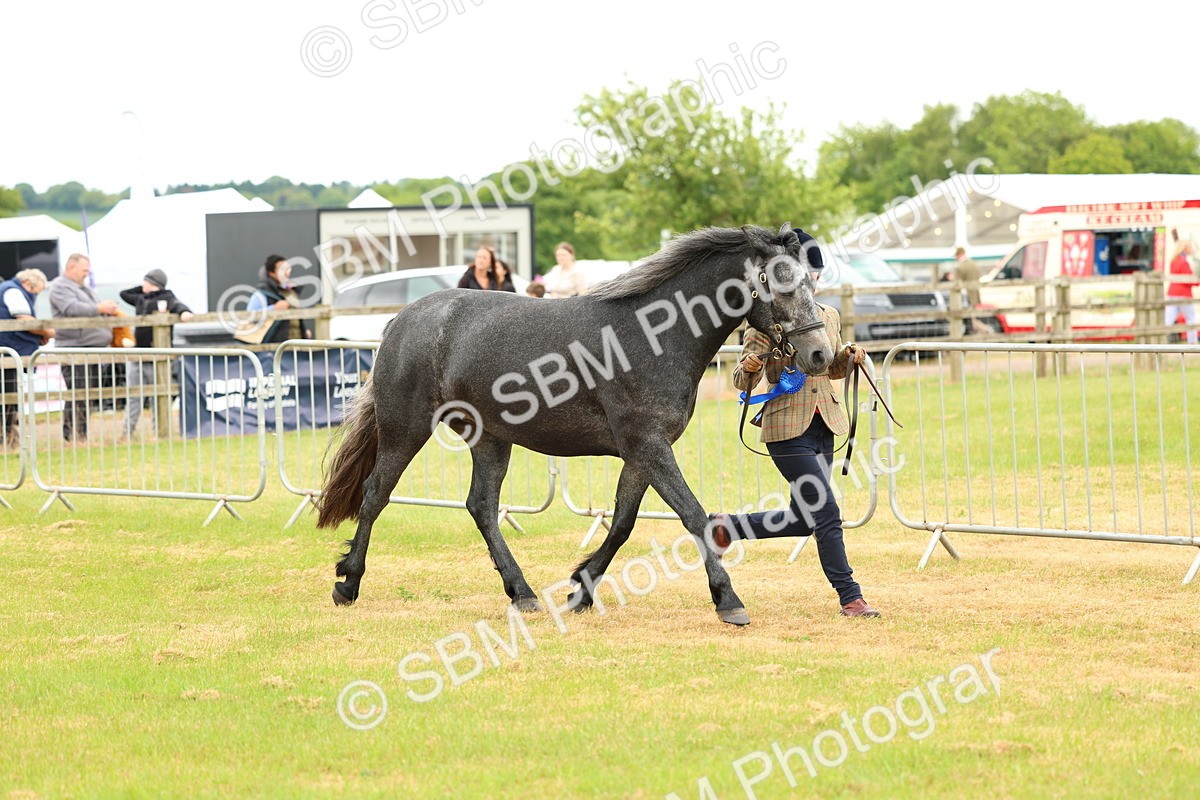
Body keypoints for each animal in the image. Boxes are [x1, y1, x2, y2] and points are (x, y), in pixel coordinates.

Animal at [316, 222, 833, 626]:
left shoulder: (642, 453)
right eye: (781, 283)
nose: (820, 355)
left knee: (481, 506)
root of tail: (401, 321)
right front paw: (728, 601)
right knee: (376, 493)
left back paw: (522, 594)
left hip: (490, 439)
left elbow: (622, 523)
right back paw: (348, 583)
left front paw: (580, 589)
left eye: (812, 283)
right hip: (406, 428)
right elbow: (693, 516)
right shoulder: (648, 446)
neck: (654, 335)